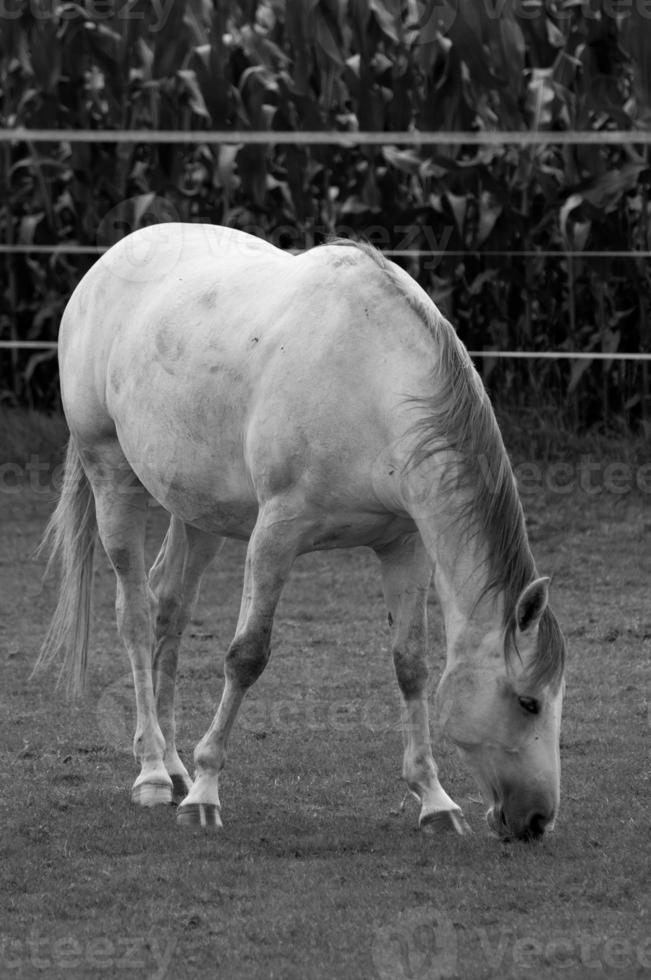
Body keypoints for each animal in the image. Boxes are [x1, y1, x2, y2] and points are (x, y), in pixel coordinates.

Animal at [37, 224, 564, 844]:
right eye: (528, 703)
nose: (537, 820)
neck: (371, 380)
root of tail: (107, 263)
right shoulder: (277, 534)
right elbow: (246, 656)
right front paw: (207, 793)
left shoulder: (404, 546)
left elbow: (411, 664)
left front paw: (435, 801)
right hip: (113, 478)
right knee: (137, 617)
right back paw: (153, 775)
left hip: (197, 514)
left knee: (169, 609)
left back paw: (173, 765)